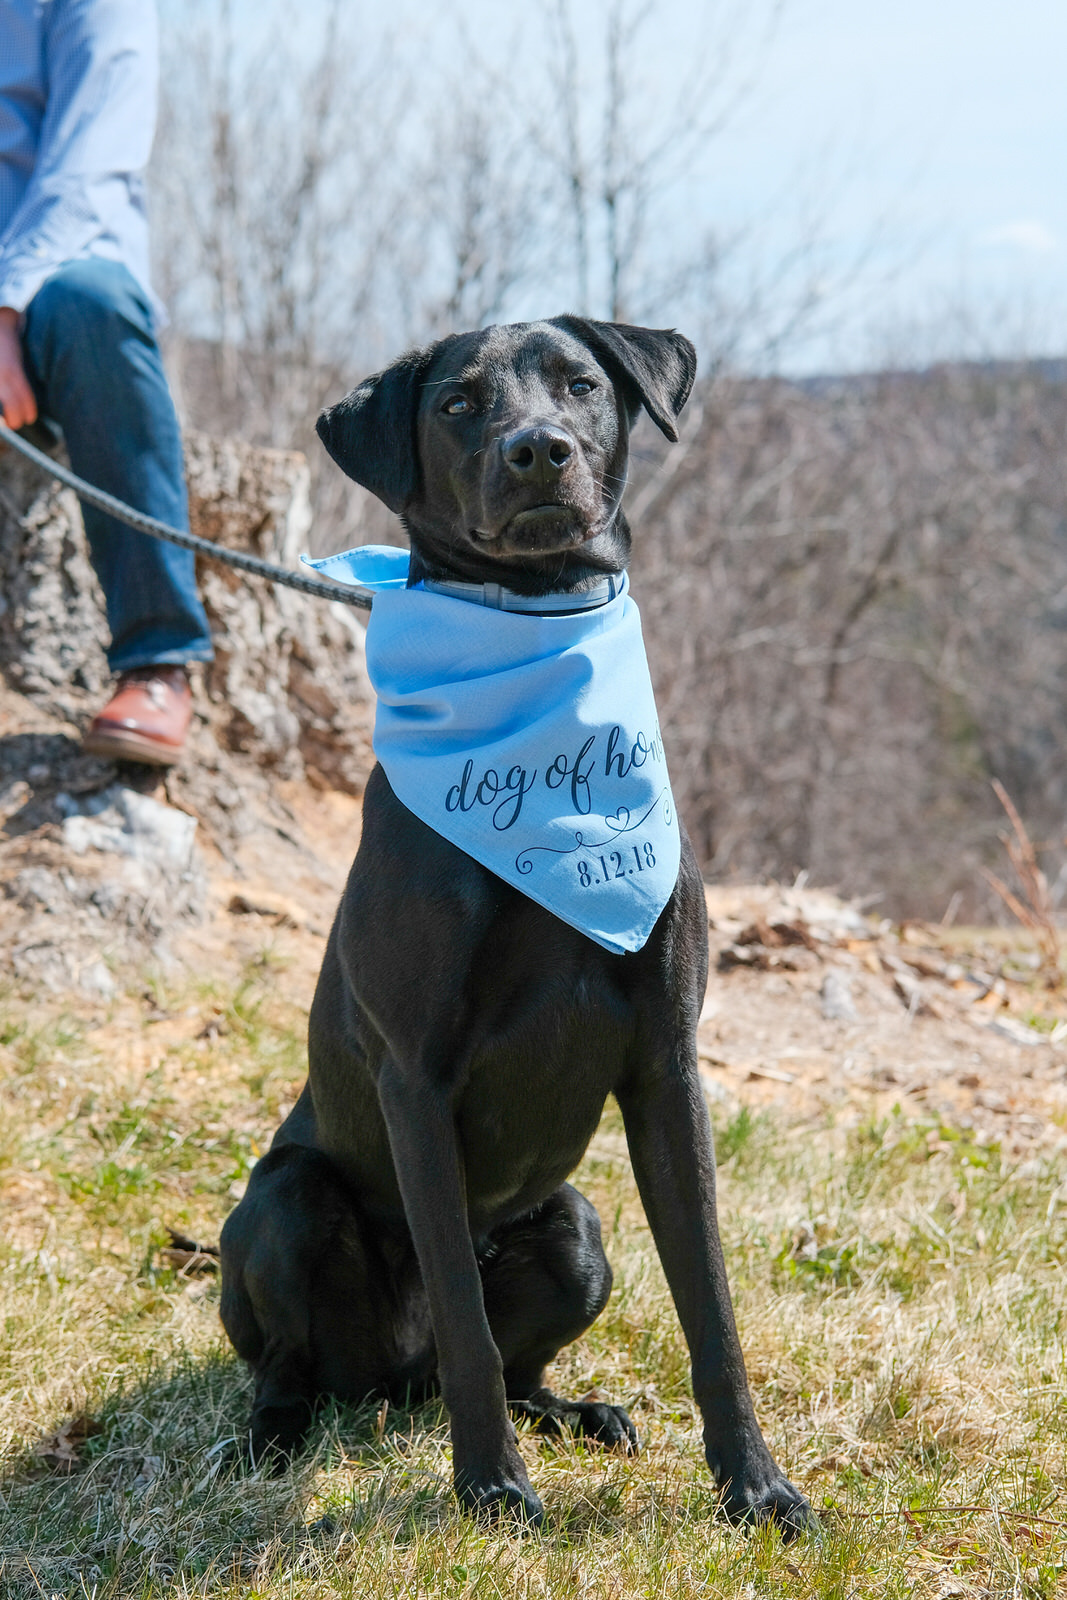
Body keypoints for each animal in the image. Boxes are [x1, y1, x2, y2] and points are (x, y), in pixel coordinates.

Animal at [220, 315, 812, 1536]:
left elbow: (711, 1307)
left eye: (580, 384)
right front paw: (489, 1489)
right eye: (457, 404)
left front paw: (755, 1486)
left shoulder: (666, 1060)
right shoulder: (414, 1077)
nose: (537, 450)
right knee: (305, 1362)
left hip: (575, 1228)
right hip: (288, 1202)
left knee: (523, 1356)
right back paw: (276, 1435)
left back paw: (576, 1412)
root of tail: (386, 1389)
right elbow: (462, 1317)